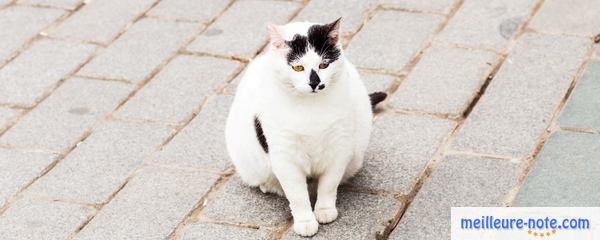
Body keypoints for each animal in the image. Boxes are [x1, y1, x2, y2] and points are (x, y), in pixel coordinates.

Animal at [224, 18, 384, 236]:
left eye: (323, 65)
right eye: (298, 68)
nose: (315, 83)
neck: (310, 110)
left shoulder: (339, 147)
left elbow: (329, 184)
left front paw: (324, 210)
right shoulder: (285, 156)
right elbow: (297, 195)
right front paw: (305, 221)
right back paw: (270, 185)